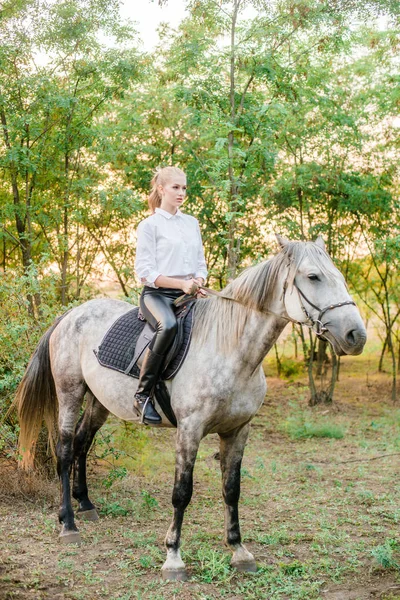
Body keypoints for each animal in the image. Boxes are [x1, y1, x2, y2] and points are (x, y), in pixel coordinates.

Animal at [15, 237, 366, 580]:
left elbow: (231, 489)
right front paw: (173, 557)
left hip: (99, 402)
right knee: (64, 450)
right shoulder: (189, 430)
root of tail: (70, 315)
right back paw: (68, 524)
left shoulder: (239, 431)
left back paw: (85, 504)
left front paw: (239, 550)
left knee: (82, 444)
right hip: (70, 392)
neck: (229, 349)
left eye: (339, 275)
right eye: (313, 277)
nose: (356, 335)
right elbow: (181, 492)